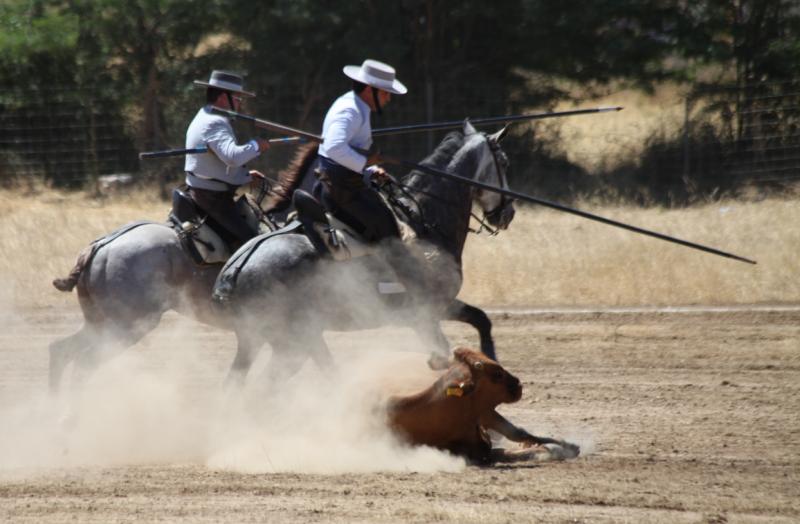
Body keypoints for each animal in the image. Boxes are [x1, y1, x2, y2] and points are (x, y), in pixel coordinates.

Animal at [217, 122, 512, 384]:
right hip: (294, 342)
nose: (508, 213)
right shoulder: (428, 312)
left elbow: (481, 320)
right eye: (504, 161)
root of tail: (235, 270)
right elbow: (451, 345)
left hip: (264, 342)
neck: (424, 222)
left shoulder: (440, 308)